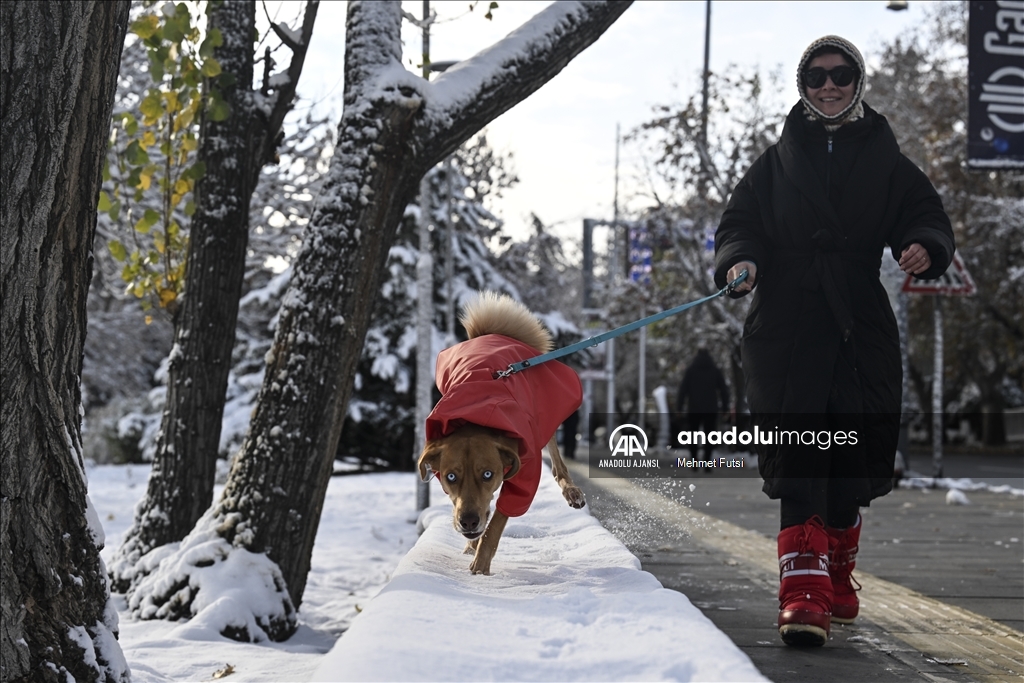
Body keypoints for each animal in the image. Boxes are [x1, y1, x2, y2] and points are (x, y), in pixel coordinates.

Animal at [415, 290, 585, 573]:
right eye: (450, 477)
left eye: (487, 474)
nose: (468, 522)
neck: (477, 412)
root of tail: (492, 333)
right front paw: (473, 543)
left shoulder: (524, 474)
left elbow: (497, 522)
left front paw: (480, 564)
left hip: (545, 407)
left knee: (556, 460)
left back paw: (571, 490)